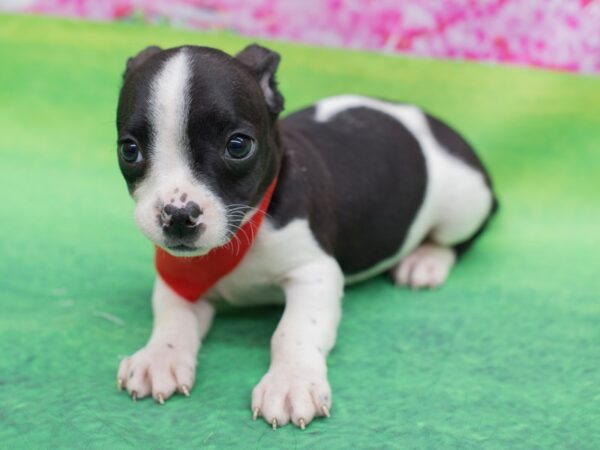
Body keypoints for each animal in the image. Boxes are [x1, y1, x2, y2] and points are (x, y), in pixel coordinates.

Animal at [113, 44, 496, 430]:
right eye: (129, 150)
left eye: (238, 146)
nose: (178, 215)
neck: (246, 234)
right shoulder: (178, 273)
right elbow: (173, 316)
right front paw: (159, 356)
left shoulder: (314, 273)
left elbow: (294, 330)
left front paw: (291, 381)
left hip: (463, 202)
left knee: (463, 235)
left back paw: (426, 260)